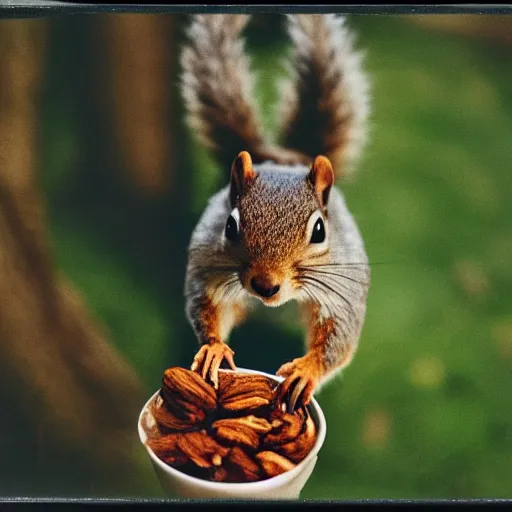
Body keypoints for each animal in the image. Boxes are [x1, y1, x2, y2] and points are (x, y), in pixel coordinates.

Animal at [181, 13, 372, 412]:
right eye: (230, 225)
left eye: (320, 230)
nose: (265, 285)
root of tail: (283, 156)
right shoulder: (207, 272)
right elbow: (205, 308)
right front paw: (214, 348)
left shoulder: (343, 290)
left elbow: (338, 338)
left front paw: (306, 370)